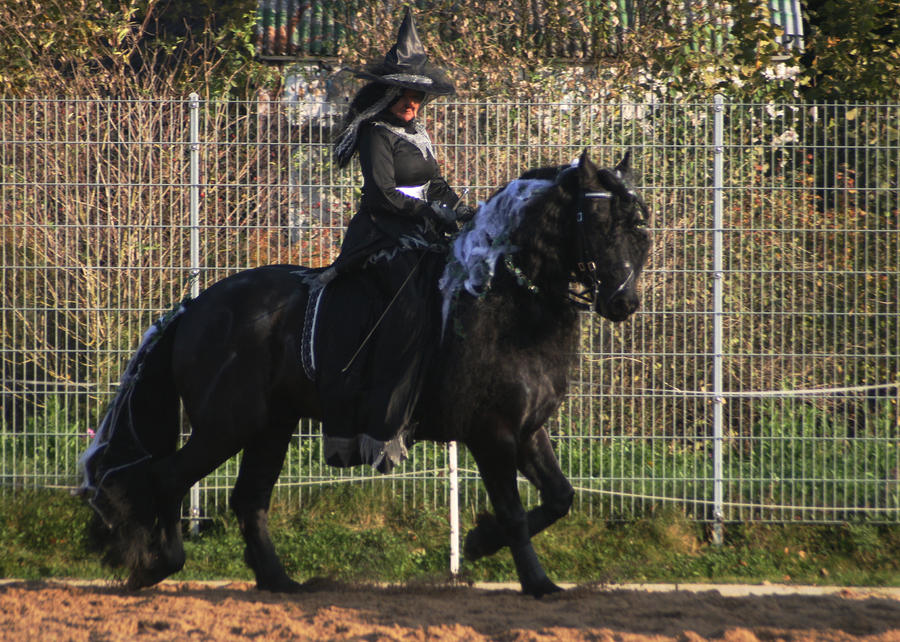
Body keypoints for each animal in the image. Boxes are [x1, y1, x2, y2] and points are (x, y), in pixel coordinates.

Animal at [78, 150, 651, 598]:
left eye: (640, 232)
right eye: (600, 224)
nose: (624, 303)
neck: (501, 295)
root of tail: (195, 307)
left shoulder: (529, 430)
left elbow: (560, 497)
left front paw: (478, 542)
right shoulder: (492, 434)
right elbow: (513, 510)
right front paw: (536, 582)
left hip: (270, 427)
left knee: (247, 500)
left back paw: (277, 581)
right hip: (227, 425)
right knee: (168, 477)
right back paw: (155, 563)